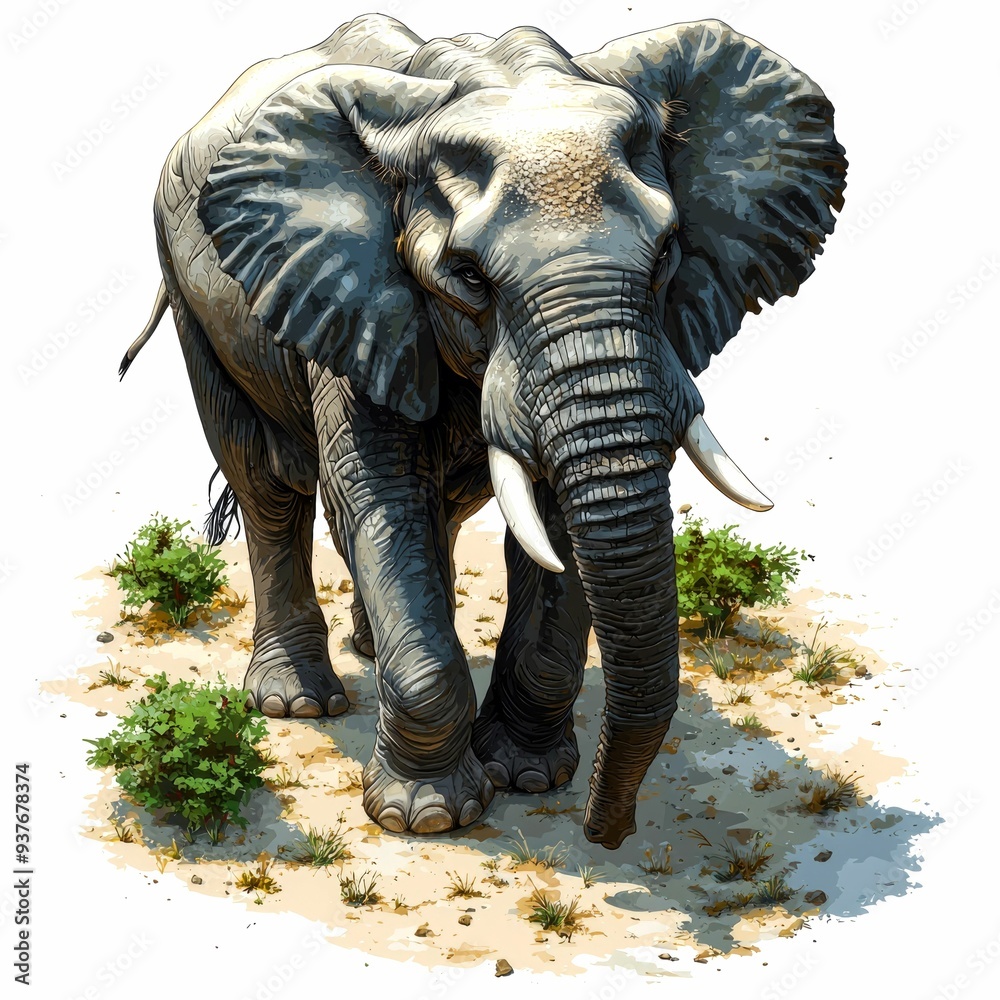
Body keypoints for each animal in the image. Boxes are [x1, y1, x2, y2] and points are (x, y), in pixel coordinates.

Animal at [121, 14, 846, 849]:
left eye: (668, 253)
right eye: (469, 276)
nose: (606, 833)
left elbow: (554, 520)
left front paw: (529, 777)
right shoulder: (352, 292)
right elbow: (375, 491)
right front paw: (428, 816)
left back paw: (367, 649)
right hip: (188, 288)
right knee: (265, 484)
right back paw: (297, 701)